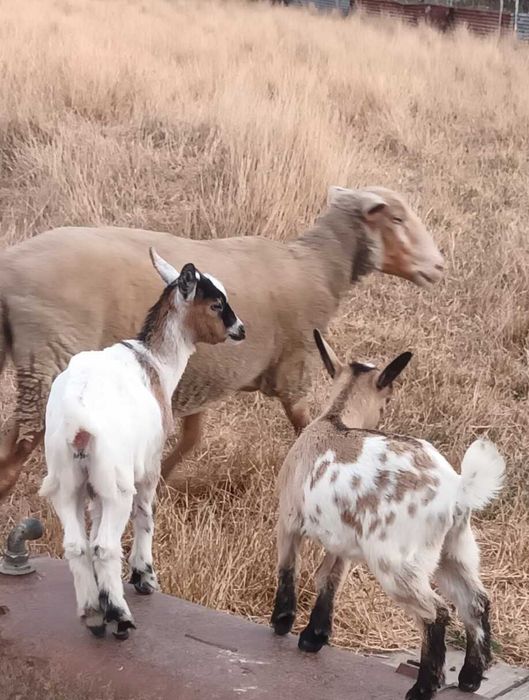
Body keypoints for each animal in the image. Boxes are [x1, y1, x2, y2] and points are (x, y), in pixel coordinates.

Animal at [0, 186, 444, 499]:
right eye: (398, 219)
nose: (439, 267)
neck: (317, 268)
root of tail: (10, 267)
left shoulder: (201, 376)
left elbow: (193, 437)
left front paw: (163, 483)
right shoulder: (293, 368)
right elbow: (306, 426)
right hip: (49, 363)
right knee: (16, 450)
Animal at [39, 249, 244, 640]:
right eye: (215, 304)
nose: (240, 329)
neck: (155, 362)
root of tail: (78, 420)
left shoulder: (95, 490)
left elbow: (93, 528)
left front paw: (106, 595)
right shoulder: (149, 464)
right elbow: (146, 514)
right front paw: (144, 577)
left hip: (67, 480)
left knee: (78, 545)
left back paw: (93, 612)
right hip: (116, 482)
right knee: (105, 545)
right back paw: (120, 616)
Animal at [271, 330, 505, 700]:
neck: (334, 419)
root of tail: (456, 488)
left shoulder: (289, 520)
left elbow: (288, 567)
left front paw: (282, 622)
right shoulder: (343, 543)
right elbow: (329, 579)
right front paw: (314, 637)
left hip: (396, 563)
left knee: (436, 612)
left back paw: (423, 688)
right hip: (454, 551)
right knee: (476, 602)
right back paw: (469, 677)